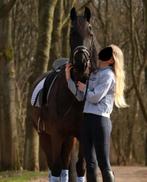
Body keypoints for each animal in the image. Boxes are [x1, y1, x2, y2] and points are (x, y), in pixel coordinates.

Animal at [31, 6, 99, 181]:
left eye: (90, 32)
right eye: (72, 33)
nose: (81, 62)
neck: (73, 97)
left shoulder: (81, 136)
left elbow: (80, 167)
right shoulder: (56, 135)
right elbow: (55, 168)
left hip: (69, 139)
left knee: (64, 166)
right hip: (44, 136)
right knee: (54, 167)